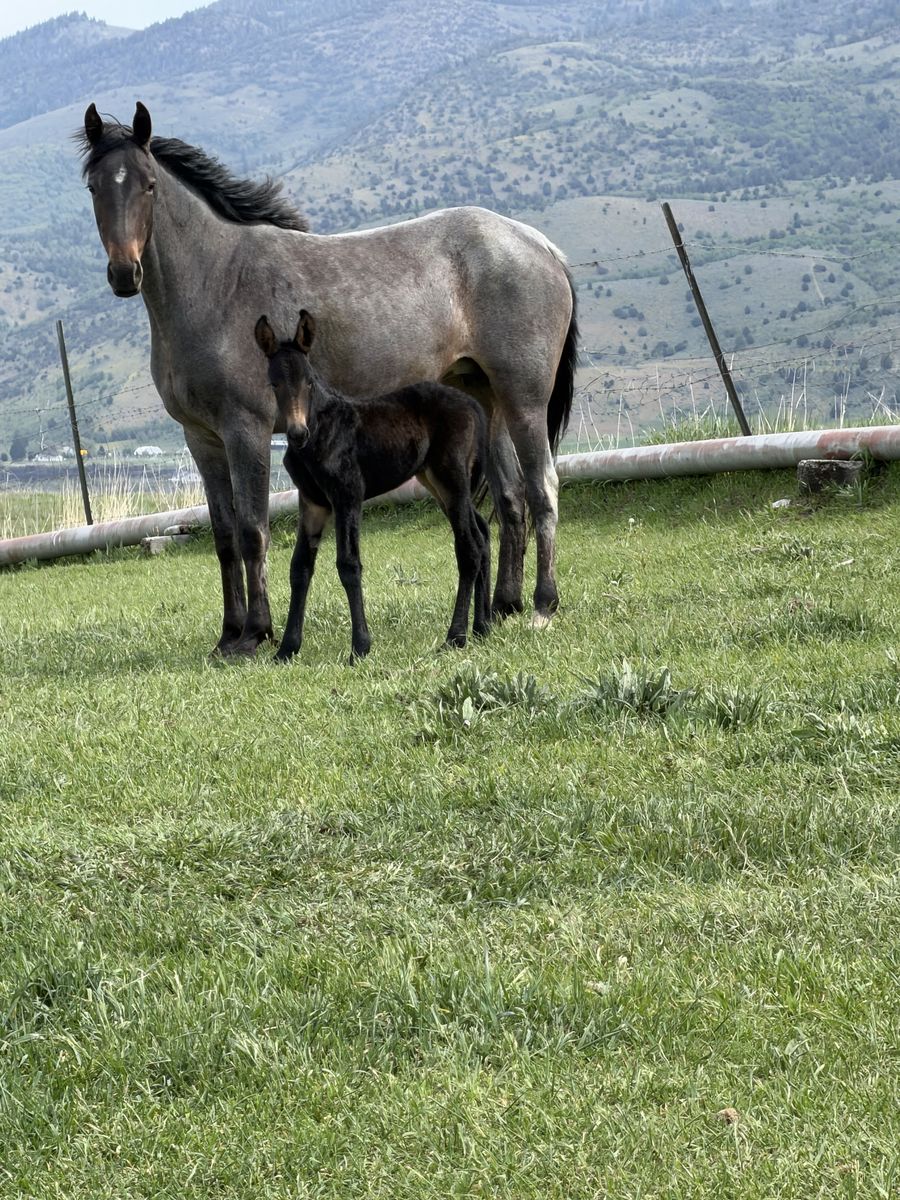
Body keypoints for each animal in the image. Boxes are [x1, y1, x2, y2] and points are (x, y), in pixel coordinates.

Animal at [254, 310, 492, 661]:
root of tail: (473, 405)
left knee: (469, 547)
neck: (319, 433)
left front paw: (361, 646)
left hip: (452, 477)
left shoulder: (348, 496)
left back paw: (456, 636)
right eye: (274, 384)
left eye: (309, 381)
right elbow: (299, 568)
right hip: (436, 482)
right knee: (483, 533)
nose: (297, 433)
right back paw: (483, 626)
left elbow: (348, 564)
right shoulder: (312, 502)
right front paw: (287, 649)